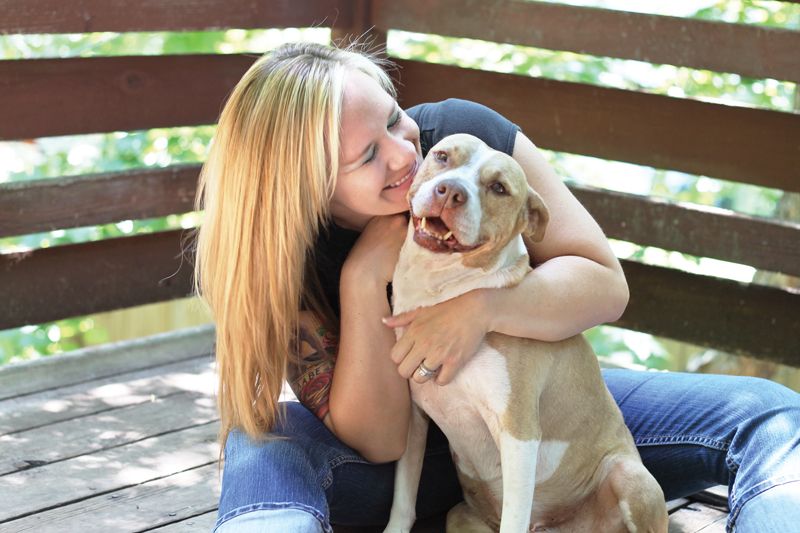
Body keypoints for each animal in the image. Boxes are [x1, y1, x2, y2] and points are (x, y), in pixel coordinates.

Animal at [384, 134, 664, 532]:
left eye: (499, 188)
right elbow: (403, 499)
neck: (440, 288)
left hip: (630, 476)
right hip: (459, 514)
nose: (450, 191)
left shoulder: (518, 433)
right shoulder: (414, 417)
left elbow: (513, 516)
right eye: (442, 156)